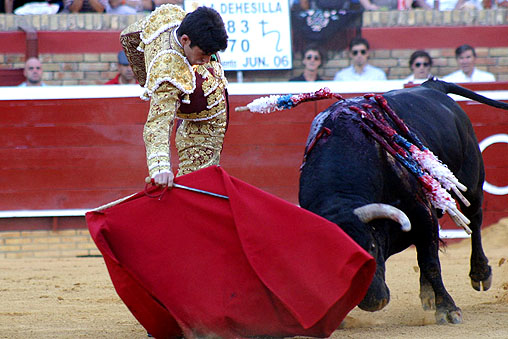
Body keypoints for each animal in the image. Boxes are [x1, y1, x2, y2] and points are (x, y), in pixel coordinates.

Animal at [298, 79, 508, 324]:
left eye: (371, 246)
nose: (373, 302)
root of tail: (432, 86)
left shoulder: (421, 213)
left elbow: (430, 262)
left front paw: (448, 310)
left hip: (471, 181)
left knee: (474, 221)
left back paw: (480, 274)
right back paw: (427, 296)